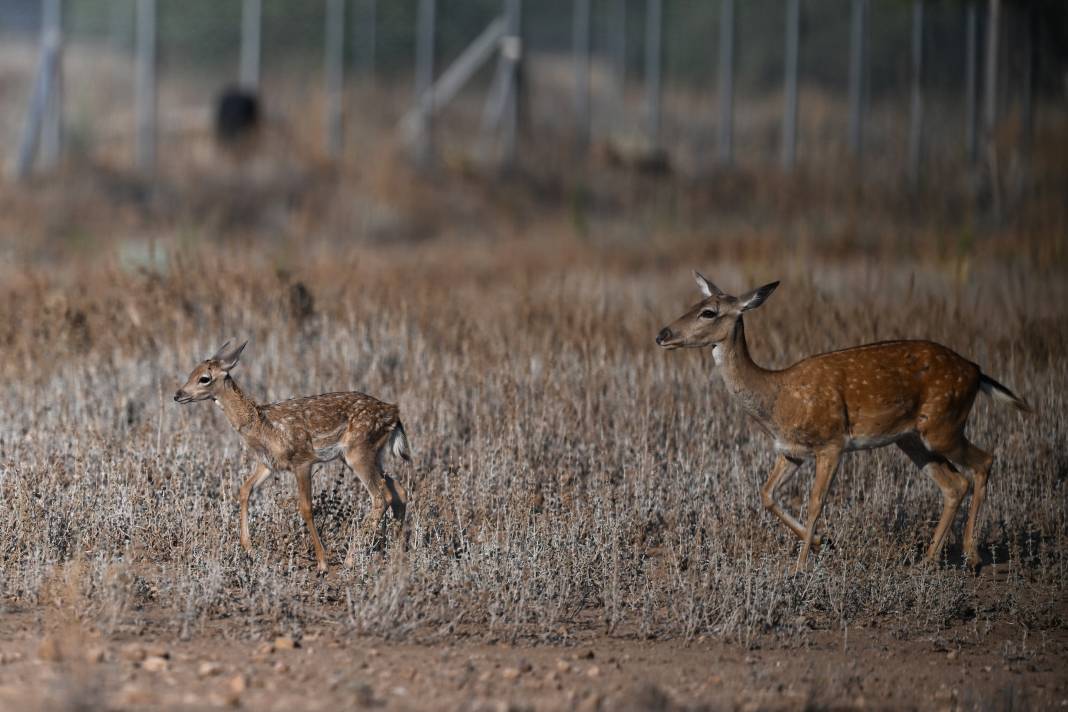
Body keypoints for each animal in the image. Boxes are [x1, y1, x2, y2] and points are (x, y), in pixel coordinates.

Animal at [173, 339, 410, 572]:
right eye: (191, 372)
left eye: (204, 378)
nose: (178, 394)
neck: (261, 425)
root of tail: (395, 413)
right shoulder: (269, 463)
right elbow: (244, 489)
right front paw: (249, 549)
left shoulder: (302, 460)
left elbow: (305, 507)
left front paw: (322, 563)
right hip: (369, 454)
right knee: (398, 490)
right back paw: (397, 553)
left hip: (358, 451)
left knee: (381, 496)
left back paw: (351, 559)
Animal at [653, 273, 1029, 572]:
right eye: (696, 302)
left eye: (709, 312)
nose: (662, 334)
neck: (776, 396)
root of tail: (977, 372)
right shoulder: (791, 450)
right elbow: (766, 494)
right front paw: (823, 543)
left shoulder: (831, 443)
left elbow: (815, 503)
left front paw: (800, 566)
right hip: (912, 438)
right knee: (954, 483)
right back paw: (929, 560)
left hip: (943, 426)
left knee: (983, 461)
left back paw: (972, 555)